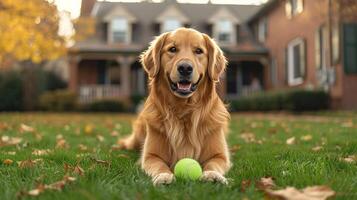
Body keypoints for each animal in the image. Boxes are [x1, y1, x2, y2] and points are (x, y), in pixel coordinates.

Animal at [119, 27, 231, 185]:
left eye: (198, 51)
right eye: (172, 49)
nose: (185, 68)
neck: (184, 110)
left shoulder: (220, 154)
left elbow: (213, 163)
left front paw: (213, 175)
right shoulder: (150, 155)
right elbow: (159, 164)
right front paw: (163, 176)